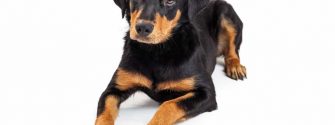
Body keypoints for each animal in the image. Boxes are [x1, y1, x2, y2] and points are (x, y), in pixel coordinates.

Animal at [95, 0, 247, 124]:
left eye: (170, 2)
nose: (143, 28)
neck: (156, 52)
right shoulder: (114, 89)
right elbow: (104, 114)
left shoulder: (206, 93)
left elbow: (168, 105)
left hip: (226, 14)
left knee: (232, 50)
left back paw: (235, 67)